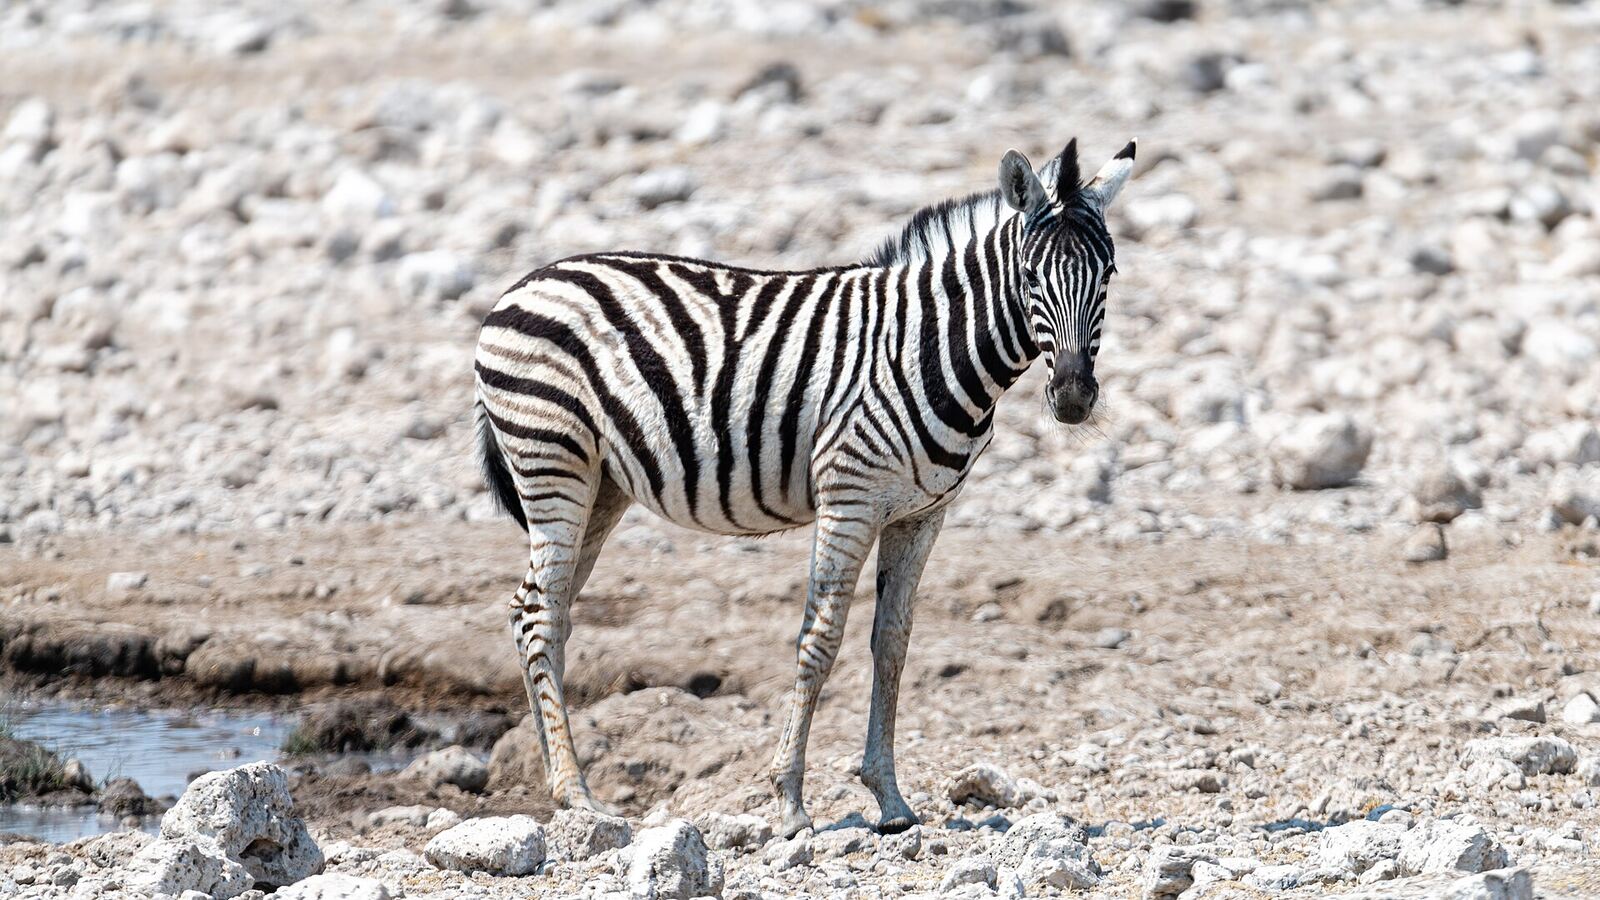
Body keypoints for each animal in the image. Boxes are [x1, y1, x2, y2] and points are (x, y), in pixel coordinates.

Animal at [473, 138, 1136, 837]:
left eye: (1109, 275)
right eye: (1031, 276)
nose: (1073, 398)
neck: (931, 347)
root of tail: (525, 283)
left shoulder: (922, 515)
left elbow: (892, 645)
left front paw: (891, 801)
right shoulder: (849, 499)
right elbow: (819, 642)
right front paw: (790, 802)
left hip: (602, 486)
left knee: (536, 612)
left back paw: (552, 776)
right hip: (554, 464)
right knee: (541, 613)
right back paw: (575, 791)